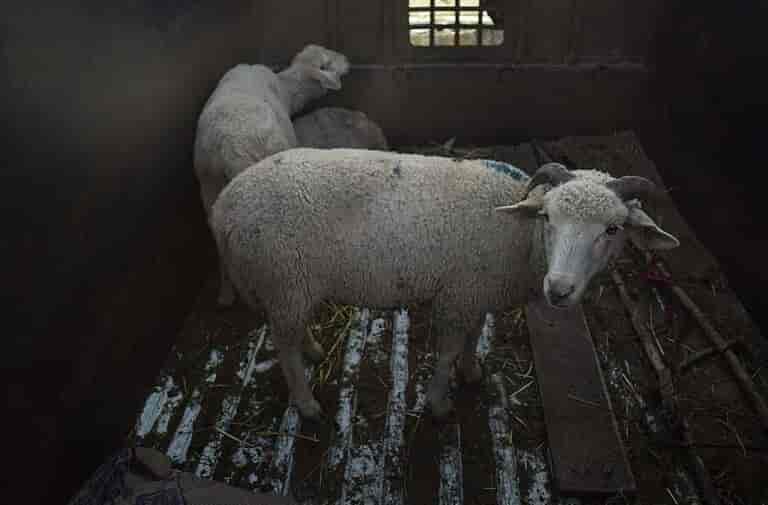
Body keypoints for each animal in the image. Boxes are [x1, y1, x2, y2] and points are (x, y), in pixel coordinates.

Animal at [193, 44, 349, 306]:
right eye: (327, 63)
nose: (347, 60)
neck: (287, 90)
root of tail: (227, 149)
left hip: (209, 186)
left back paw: (226, 293)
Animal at [210, 148, 680, 420]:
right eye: (548, 217)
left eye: (614, 229)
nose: (559, 289)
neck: (519, 234)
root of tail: (223, 207)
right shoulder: (457, 296)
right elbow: (448, 351)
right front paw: (438, 402)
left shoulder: (477, 292)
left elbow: (474, 337)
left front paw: (472, 373)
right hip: (283, 276)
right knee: (283, 344)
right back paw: (306, 403)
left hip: (292, 285)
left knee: (292, 332)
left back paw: (314, 350)